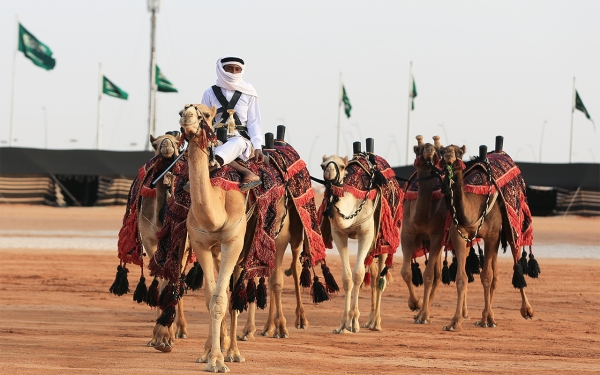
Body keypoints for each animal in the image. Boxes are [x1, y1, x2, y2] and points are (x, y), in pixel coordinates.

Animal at [322, 156, 386, 334]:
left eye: (342, 166)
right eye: (322, 165)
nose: (329, 171)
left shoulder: (367, 234)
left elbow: (358, 274)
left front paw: (354, 322)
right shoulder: (339, 234)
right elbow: (347, 277)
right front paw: (343, 324)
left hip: (384, 242)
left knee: (380, 278)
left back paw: (376, 323)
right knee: (374, 274)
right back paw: (369, 321)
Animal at [400, 137, 448, 324]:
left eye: (436, 149)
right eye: (417, 149)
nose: (429, 148)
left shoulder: (437, 236)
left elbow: (428, 276)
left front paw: (423, 313)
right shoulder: (407, 233)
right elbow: (406, 272)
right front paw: (415, 303)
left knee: (438, 275)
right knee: (438, 274)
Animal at [440, 145, 536, 332]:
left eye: (459, 152)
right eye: (443, 151)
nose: (449, 155)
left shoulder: (492, 236)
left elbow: (486, 277)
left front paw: (488, 319)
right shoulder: (458, 235)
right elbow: (461, 278)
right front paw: (455, 322)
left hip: (510, 227)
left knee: (513, 260)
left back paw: (526, 310)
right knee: (495, 273)